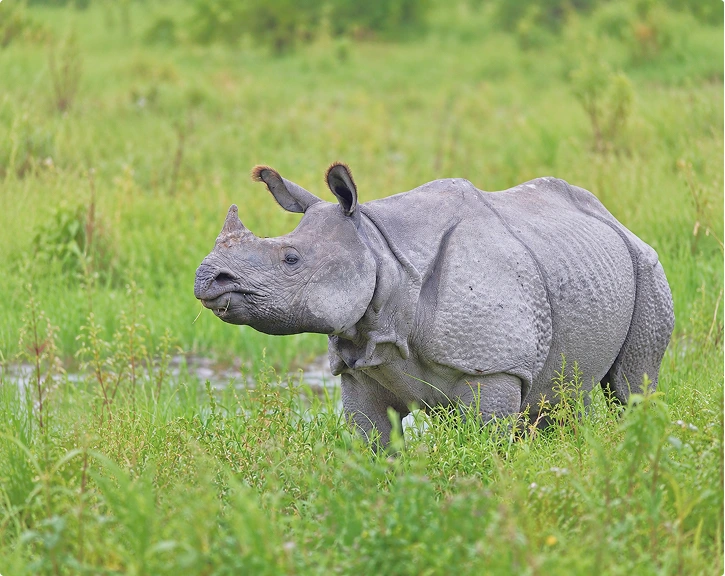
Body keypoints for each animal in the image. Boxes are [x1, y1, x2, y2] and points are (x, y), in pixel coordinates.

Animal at [194, 163, 674, 448]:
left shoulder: (493, 367)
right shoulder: (359, 364)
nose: (206, 278)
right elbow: (372, 443)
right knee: (568, 392)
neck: (380, 250)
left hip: (647, 265)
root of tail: (614, 218)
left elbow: (485, 443)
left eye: (290, 259)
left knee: (631, 386)